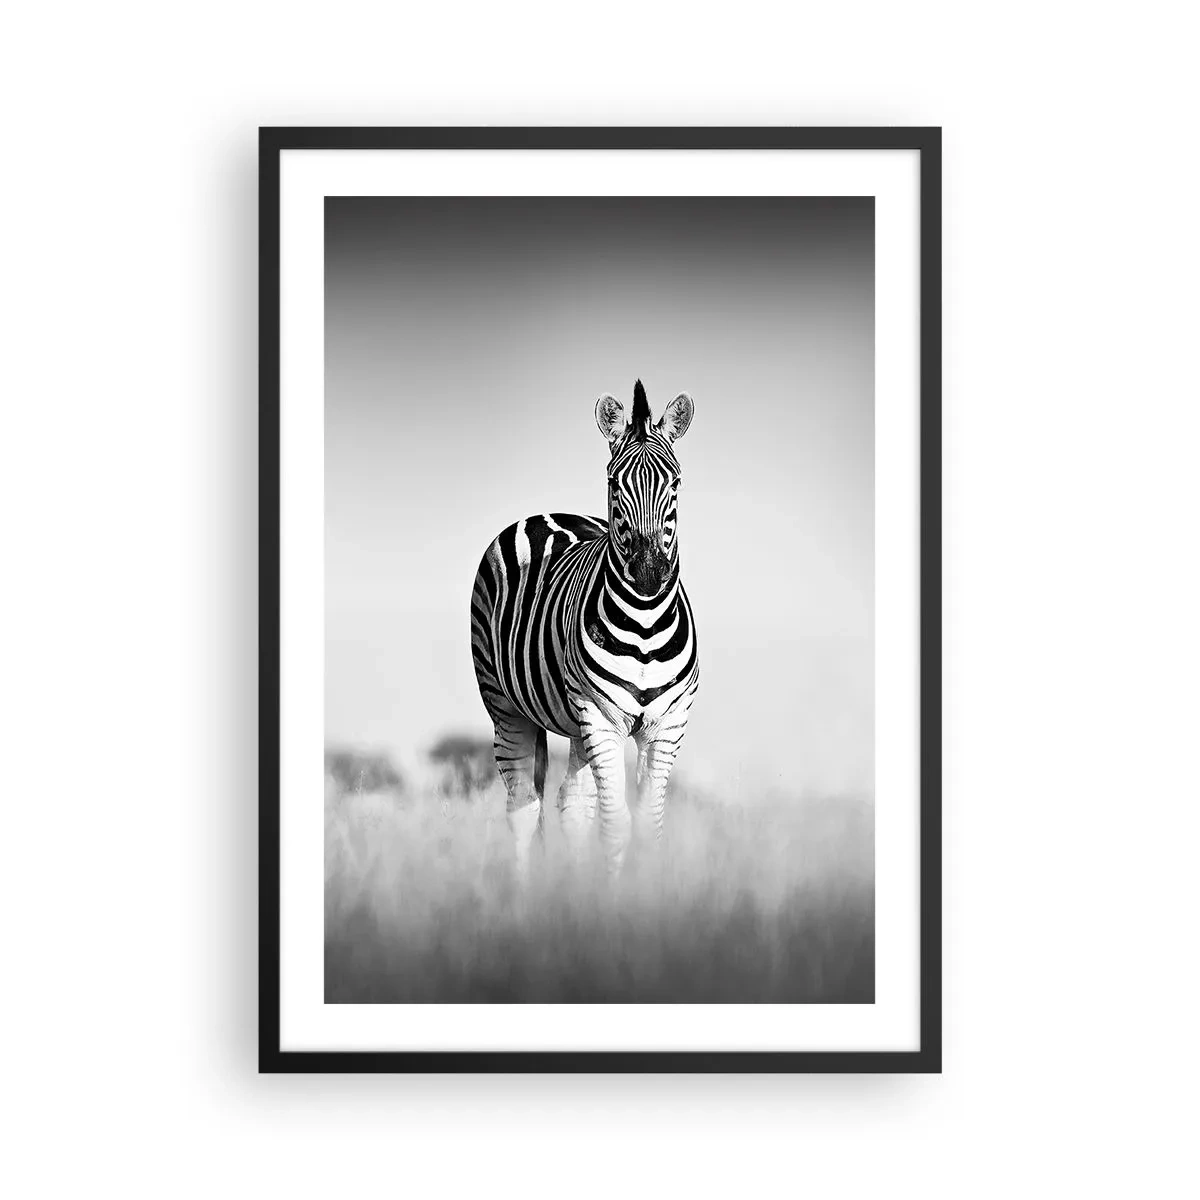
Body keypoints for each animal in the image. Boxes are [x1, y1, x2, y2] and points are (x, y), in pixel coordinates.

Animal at [470, 380, 699, 876]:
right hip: (506, 706)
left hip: (575, 725)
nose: (649, 573)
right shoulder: (600, 716)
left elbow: (647, 824)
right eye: (614, 482)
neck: (645, 625)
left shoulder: (667, 724)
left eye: (674, 483)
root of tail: (547, 513)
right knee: (523, 805)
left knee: (572, 805)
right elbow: (615, 824)